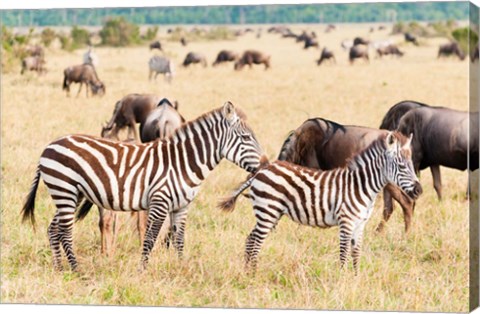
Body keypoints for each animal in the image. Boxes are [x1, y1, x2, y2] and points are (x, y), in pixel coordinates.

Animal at [21, 102, 262, 272]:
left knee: (53, 229)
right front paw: (142, 271)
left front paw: (180, 268)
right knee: (64, 230)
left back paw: (59, 268)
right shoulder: (160, 201)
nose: (263, 165)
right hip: (65, 189)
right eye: (246, 137)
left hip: (71, 194)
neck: (182, 162)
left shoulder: (182, 206)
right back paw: (76, 269)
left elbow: (179, 239)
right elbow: (150, 238)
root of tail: (50, 145)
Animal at [219, 131, 422, 274]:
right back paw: (254, 274)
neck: (361, 186)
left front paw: (356, 279)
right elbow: (344, 253)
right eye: (401, 166)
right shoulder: (346, 222)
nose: (419, 190)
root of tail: (261, 170)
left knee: (250, 239)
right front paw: (342, 281)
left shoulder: (360, 224)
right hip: (267, 212)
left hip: (270, 213)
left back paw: (249, 273)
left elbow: (356, 253)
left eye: (412, 165)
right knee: (255, 241)